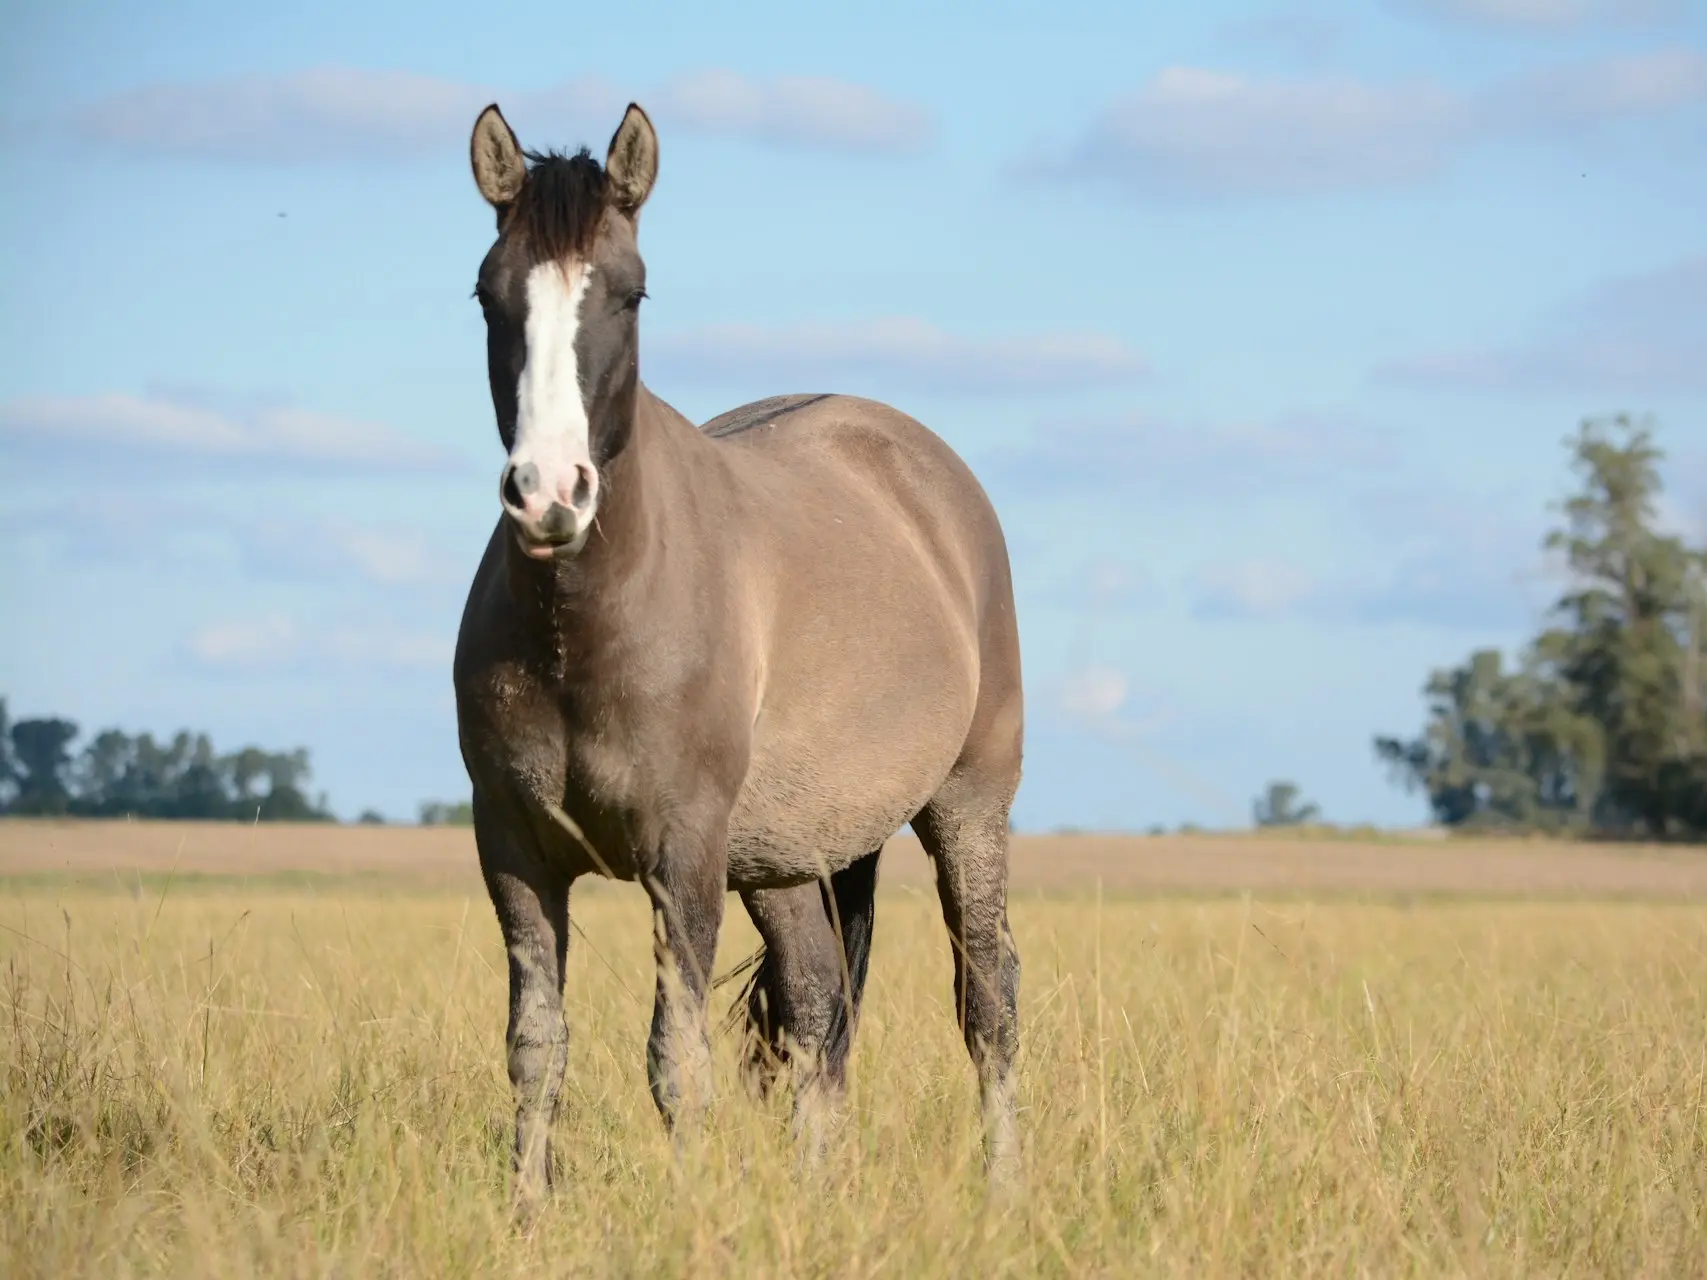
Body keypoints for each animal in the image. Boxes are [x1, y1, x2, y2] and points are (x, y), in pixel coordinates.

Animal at [447, 100, 1017, 1201]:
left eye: (629, 292)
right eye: (489, 296)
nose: (548, 494)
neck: (586, 620)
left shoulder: (684, 855)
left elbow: (676, 1059)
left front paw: (681, 1210)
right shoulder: (514, 852)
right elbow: (536, 1048)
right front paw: (525, 1211)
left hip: (968, 810)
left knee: (988, 1002)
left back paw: (1006, 1186)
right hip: (787, 862)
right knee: (817, 1011)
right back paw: (815, 1196)